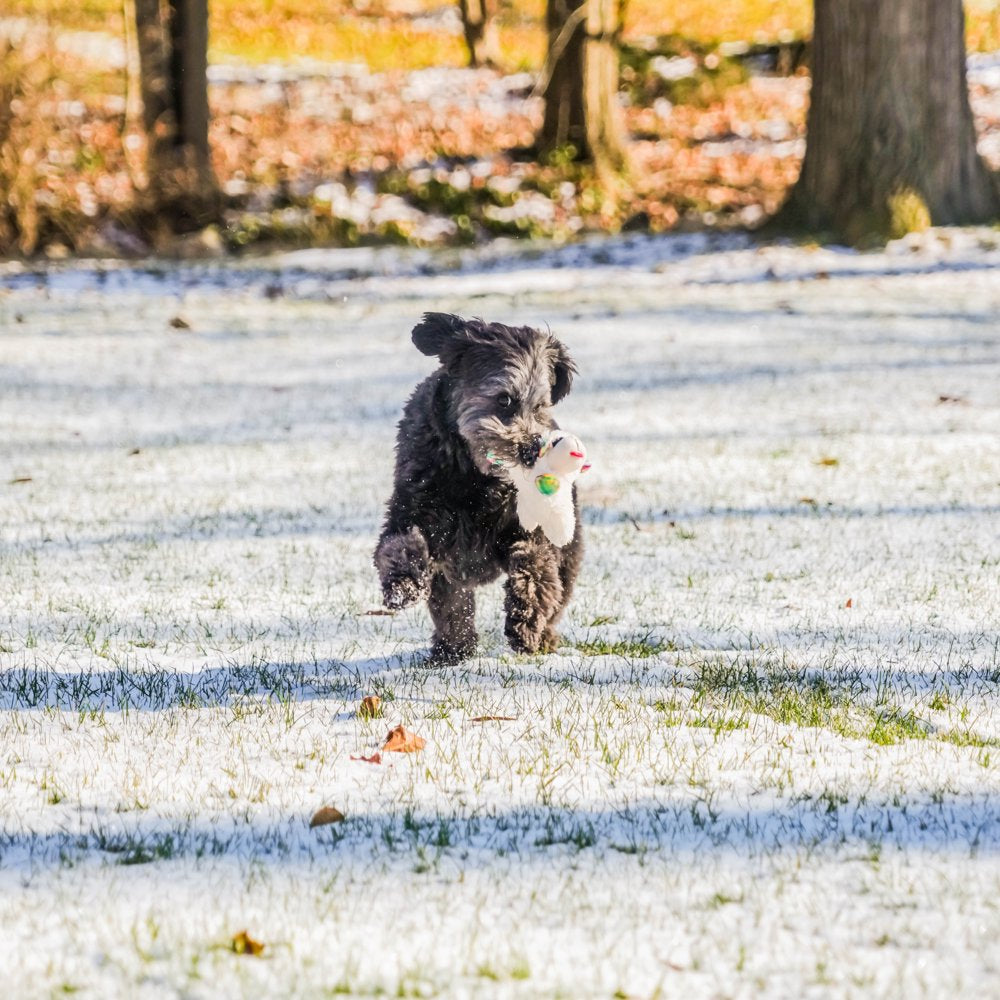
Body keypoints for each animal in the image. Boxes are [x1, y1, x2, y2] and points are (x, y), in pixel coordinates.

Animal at [376, 312, 584, 664]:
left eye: (539, 407)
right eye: (504, 399)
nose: (531, 450)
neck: (473, 477)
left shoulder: (525, 527)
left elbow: (534, 566)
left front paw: (525, 621)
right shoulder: (413, 506)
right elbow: (400, 544)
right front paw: (403, 583)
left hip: (569, 547)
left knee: (558, 590)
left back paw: (543, 637)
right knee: (453, 606)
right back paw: (452, 649)